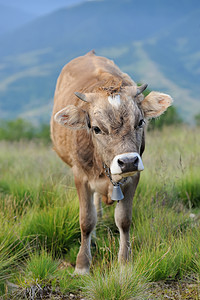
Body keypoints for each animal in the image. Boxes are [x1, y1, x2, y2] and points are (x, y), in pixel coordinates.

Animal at [50, 49, 172, 274]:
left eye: (140, 122)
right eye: (96, 128)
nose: (128, 161)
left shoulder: (133, 177)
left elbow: (124, 220)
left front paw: (124, 263)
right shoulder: (80, 175)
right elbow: (86, 220)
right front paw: (82, 265)